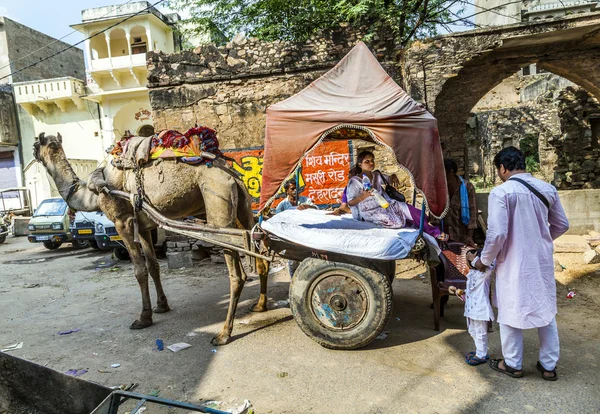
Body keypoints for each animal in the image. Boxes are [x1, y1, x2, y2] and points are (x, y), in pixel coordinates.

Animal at [32, 133, 268, 346]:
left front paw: (143, 318)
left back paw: (223, 334)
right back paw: (259, 305)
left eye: (36, 144)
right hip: (243, 206)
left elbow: (139, 270)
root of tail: (232, 175)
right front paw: (161, 306)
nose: (33, 155)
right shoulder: (144, 227)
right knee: (259, 250)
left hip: (218, 201)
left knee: (237, 274)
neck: (93, 191)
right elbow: (153, 266)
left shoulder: (123, 221)